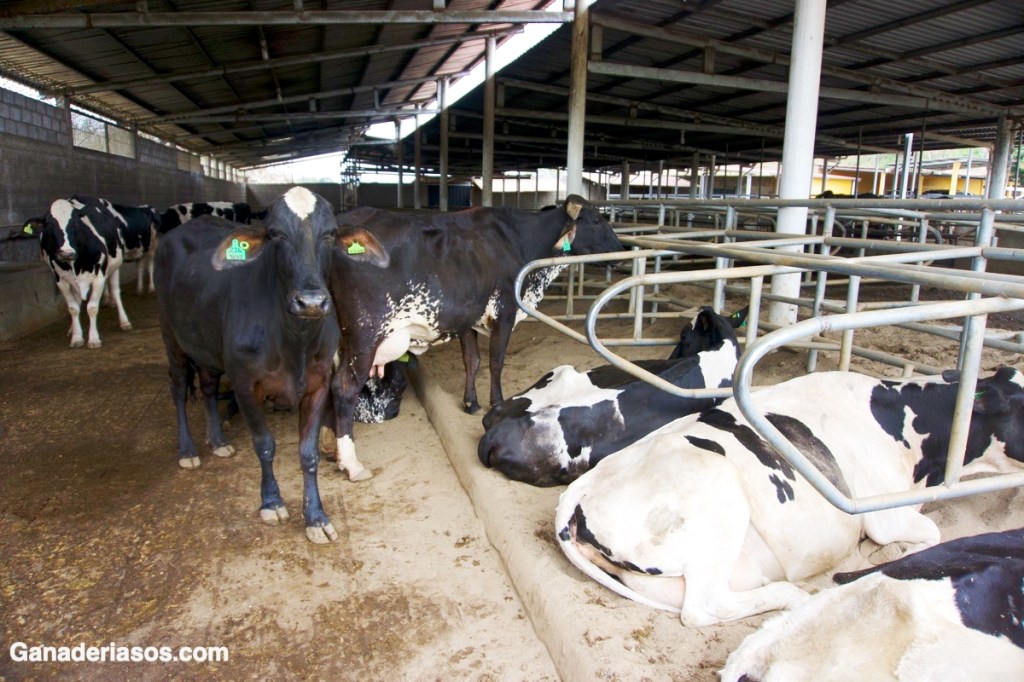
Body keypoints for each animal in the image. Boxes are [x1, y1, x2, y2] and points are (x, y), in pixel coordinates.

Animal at [34, 197, 131, 348]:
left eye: (75, 222)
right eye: (49, 224)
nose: (66, 253)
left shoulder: (99, 276)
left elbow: (92, 307)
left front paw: (93, 339)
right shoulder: (61, 280)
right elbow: (73, 308)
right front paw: (76, 337)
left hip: (115, 265)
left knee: (115, 292)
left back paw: (124, 322)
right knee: (78, 300)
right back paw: (72, 329)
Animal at [154, 187, 379, 543]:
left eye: (330, 233)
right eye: (275, 234)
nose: (311, 302)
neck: (294, 341)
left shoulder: (317, 383)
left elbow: (308, 453)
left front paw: (316, 517)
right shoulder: (246, 385)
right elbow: (264, 445)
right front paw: (271, 502)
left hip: (208, 347)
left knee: (207, 386)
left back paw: (218, 441)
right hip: (170, 335)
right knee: (177, 388)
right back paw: (188, 450)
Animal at [325, 195, 624, 481]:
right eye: (596, 220)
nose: (622, 251)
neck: (520, 240)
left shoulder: (467, 319)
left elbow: (473, 361)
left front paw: (471, 402)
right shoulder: (505, 313)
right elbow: (495, 362)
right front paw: (496, 402)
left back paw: (331, 448)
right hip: (365, 335)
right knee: (343, 388)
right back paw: (352, 464)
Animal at [555, 367, 1024, 627]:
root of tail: (578, 492)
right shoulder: (885, 513)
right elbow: (930, 534)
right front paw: (881, 556)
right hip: (719, 500)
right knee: (704, 607)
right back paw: (796, 598)